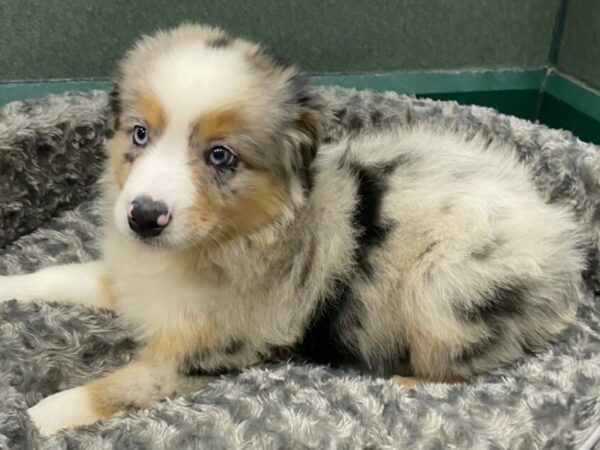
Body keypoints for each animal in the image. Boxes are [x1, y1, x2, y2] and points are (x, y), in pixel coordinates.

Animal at [0, 25, 584, 436]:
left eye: (221, 156)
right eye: (140, 134)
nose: (144, 216)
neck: (210, 247)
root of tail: (564, 244)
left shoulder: (209, 352)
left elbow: (112, 390)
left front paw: (36, 418)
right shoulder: (133, 278)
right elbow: (62, 274)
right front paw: (9, 285)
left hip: (445, 286)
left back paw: (407, 382)